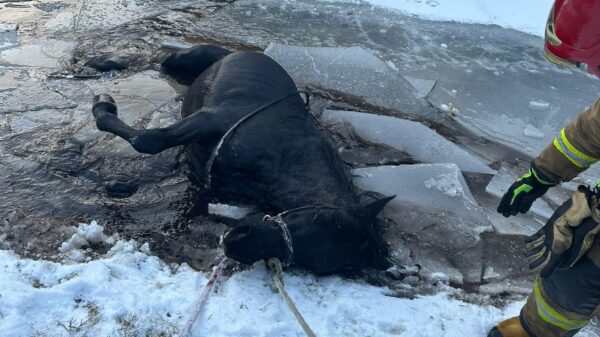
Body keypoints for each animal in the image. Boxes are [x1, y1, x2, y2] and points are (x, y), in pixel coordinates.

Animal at [92, 44, 394, 272]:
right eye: (323, 222)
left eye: (317, 262)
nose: (235, 241)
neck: (284, 155)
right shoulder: (208, 119)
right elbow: (150, 141)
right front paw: (103, 107)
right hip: (182, 62)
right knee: (159, 61)